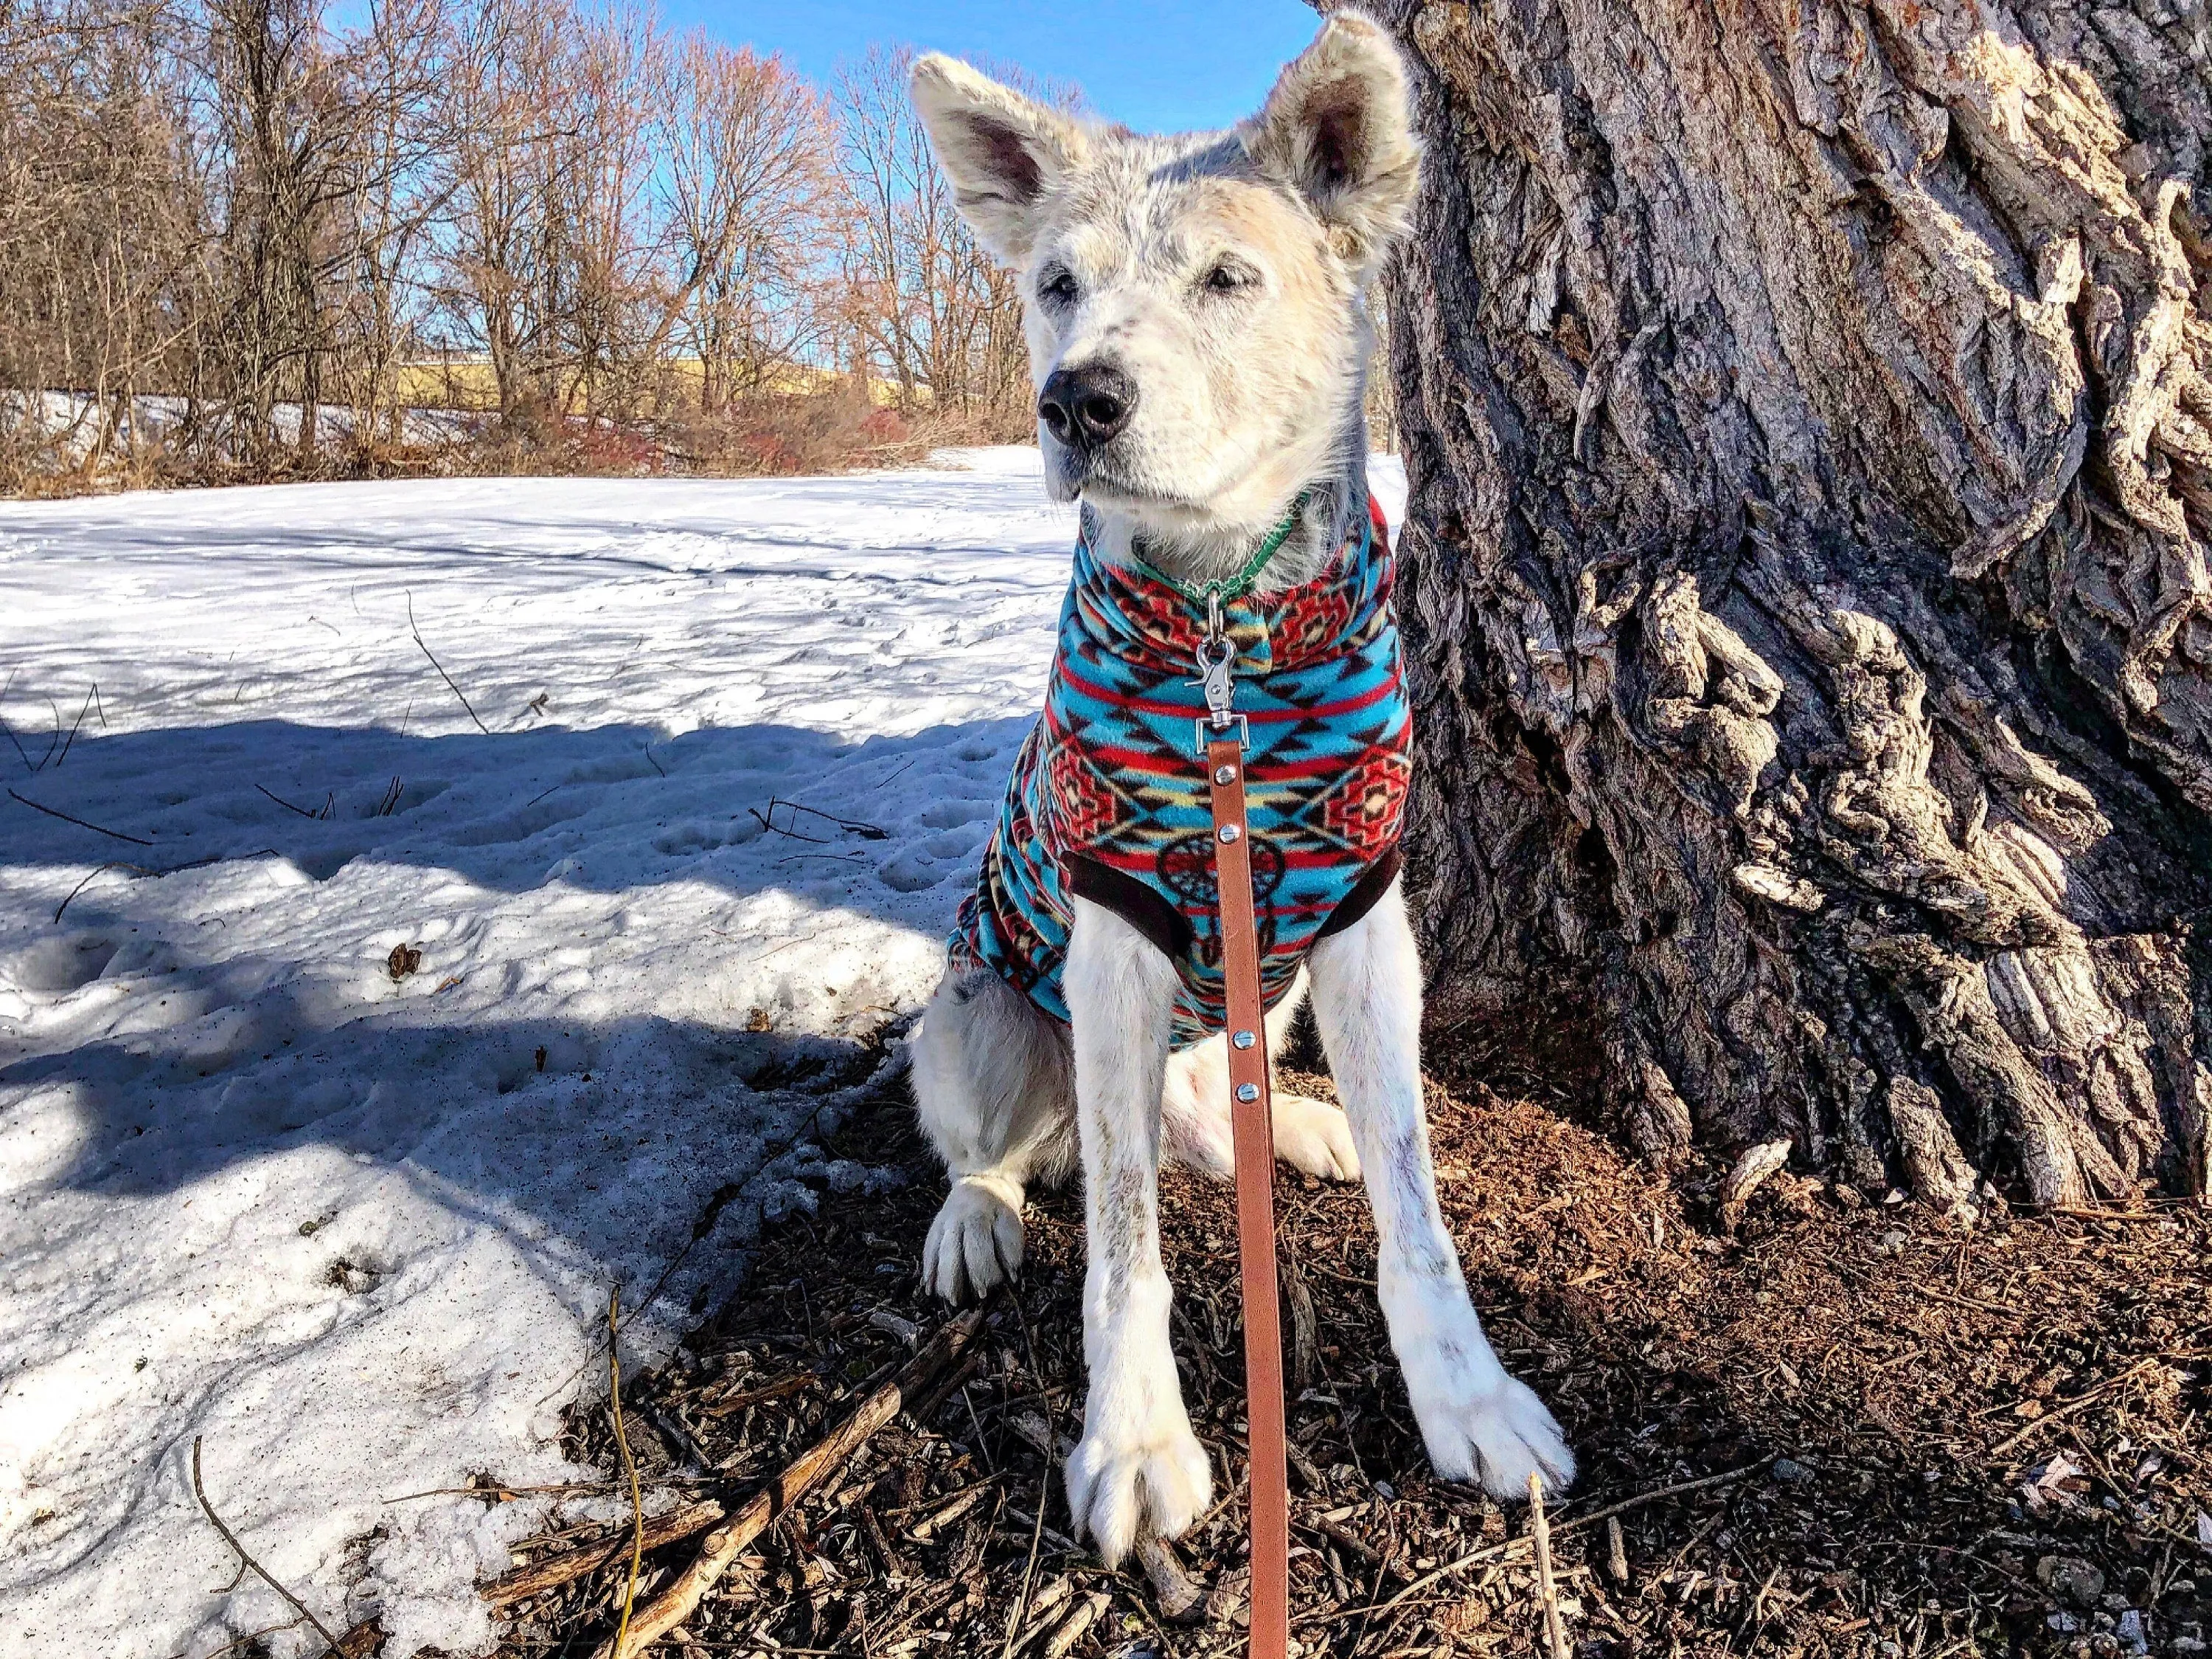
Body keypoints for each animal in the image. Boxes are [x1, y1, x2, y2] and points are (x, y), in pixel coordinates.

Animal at [902, 13, 1575, 1575]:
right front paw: (1136, 1441)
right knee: (1004, 1153)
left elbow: (1418, 1207)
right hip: (977, 1018)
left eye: (1226, 278)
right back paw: (978, 1218)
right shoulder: (1111, 939)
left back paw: (1295, 1125)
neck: (1222, 621)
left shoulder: (1366, 922)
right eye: (1058, 285)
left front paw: (1468, 1399)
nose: (1077, 399)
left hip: (1268, 988)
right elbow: (1126, 1249)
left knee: (1213, 1098)